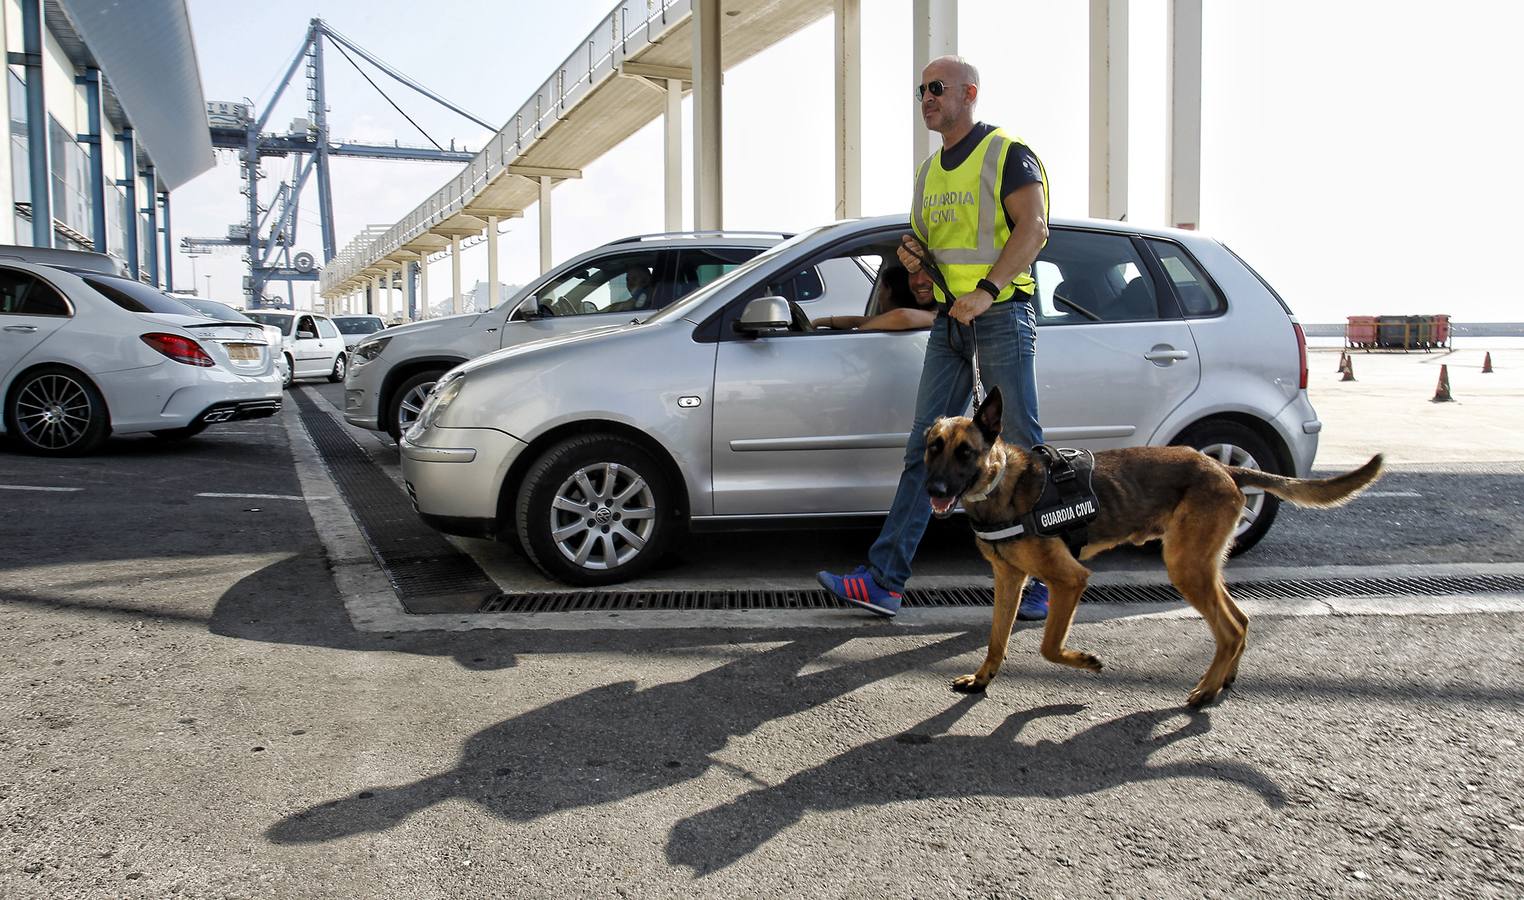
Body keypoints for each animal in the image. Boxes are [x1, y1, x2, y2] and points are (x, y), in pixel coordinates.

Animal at [920, 389, 1389, 706]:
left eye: (966, 453)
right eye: (933, 449)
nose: (933, 490)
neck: (1003, 485)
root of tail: (1223, 467)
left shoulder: (1070, 580)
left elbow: (1048, 646)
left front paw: (1085, 661)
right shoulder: (1008, 580)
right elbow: (996, 639)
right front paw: (982, 679)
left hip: (1185, 567)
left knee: (1230, 629)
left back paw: (1205, 690)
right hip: (1199, 566)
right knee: (1240, 621)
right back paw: (1224, 679)